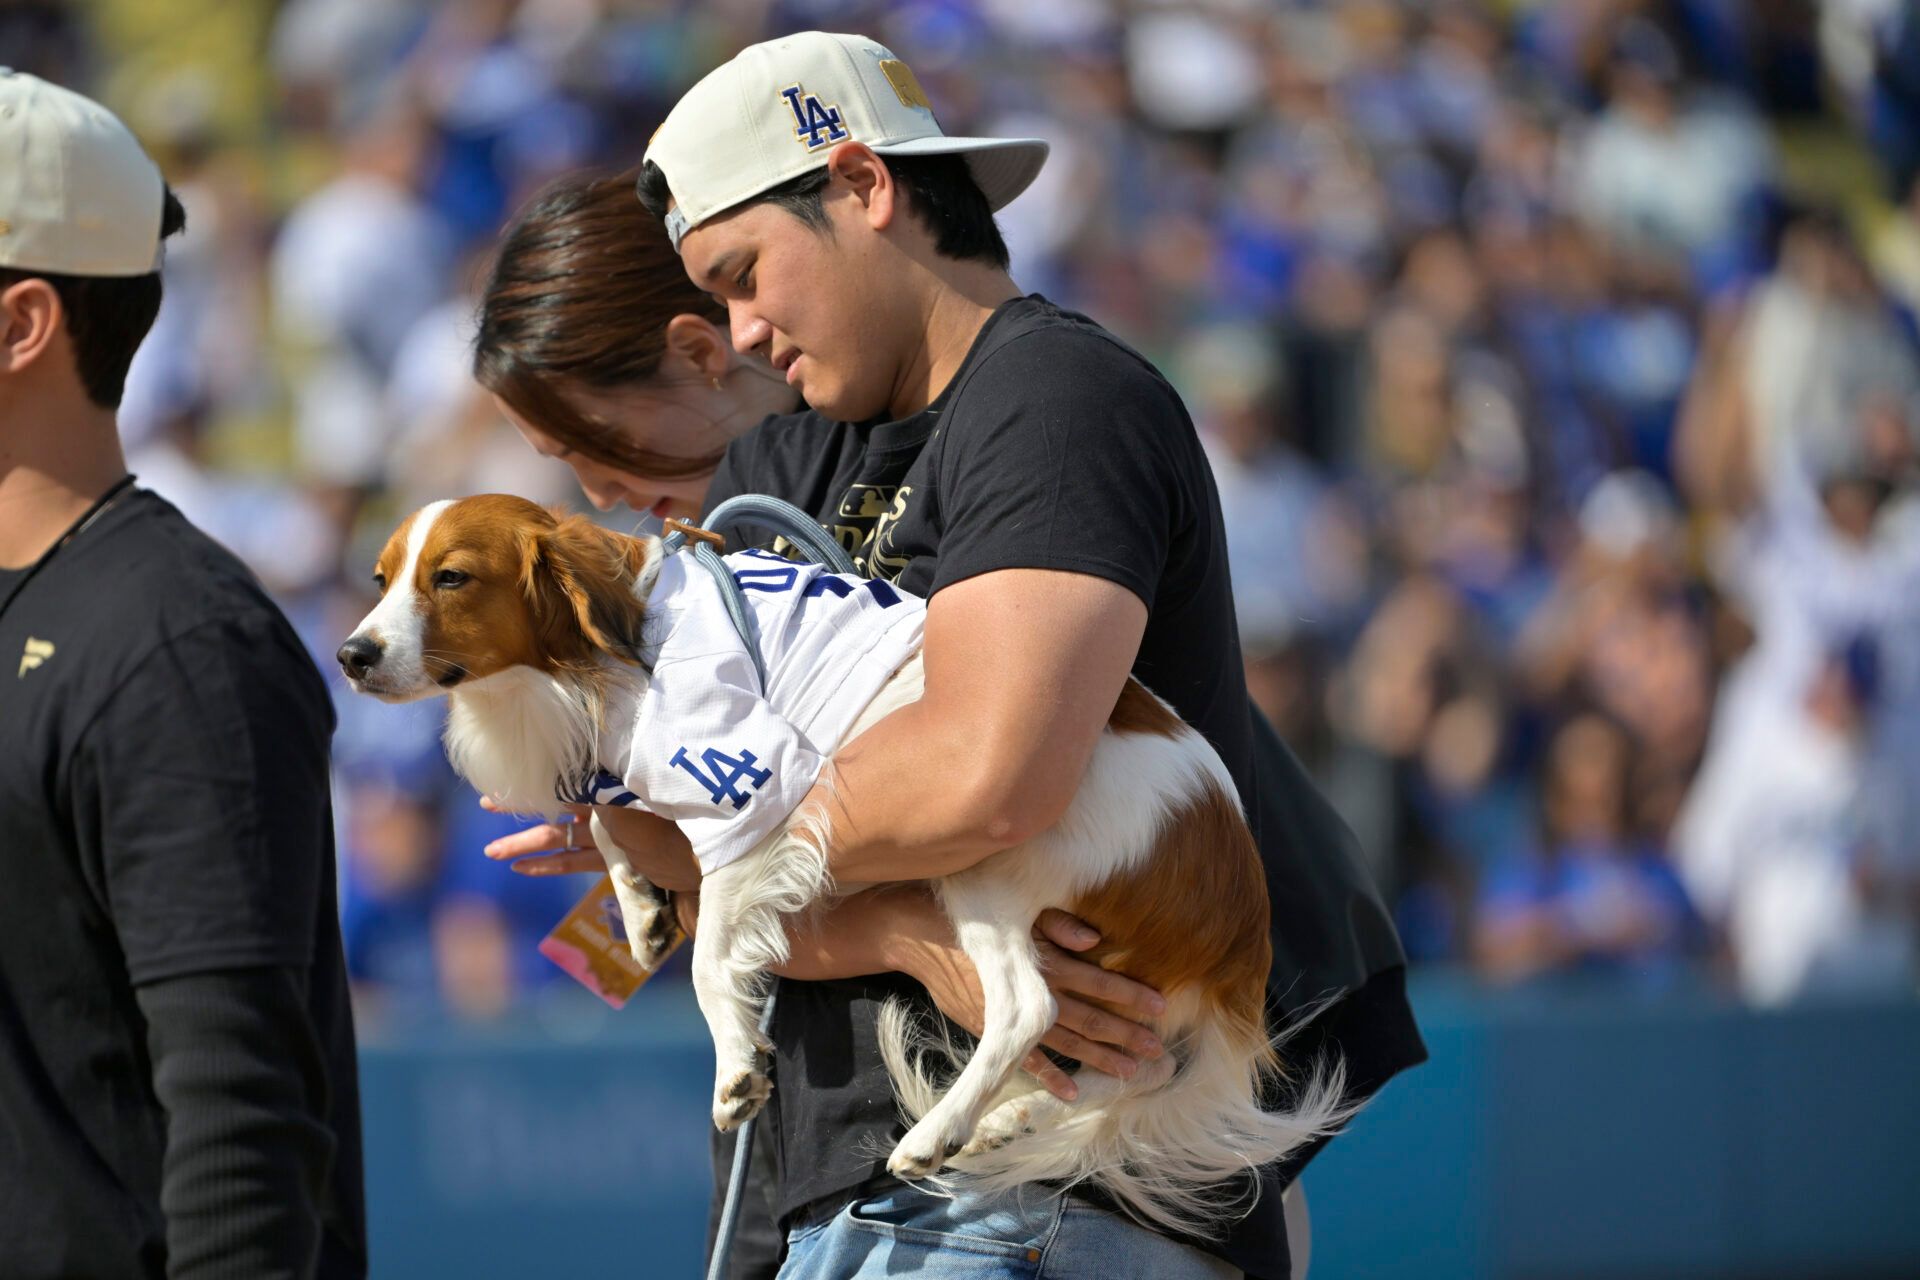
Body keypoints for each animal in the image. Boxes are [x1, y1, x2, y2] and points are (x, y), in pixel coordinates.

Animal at [334, 495, 1351, 1235]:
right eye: (380, 579)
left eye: (452, 578)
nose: (349, 653)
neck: (598, 649)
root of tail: (1238, 905)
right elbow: (618, 821)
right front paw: (641, 908)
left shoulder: (755, 788)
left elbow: (713, 960)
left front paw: (734, 1063)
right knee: (1123, 1067)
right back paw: (1010, 1116)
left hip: (993, 864)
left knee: (1029, 1007)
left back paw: (939, 1132)